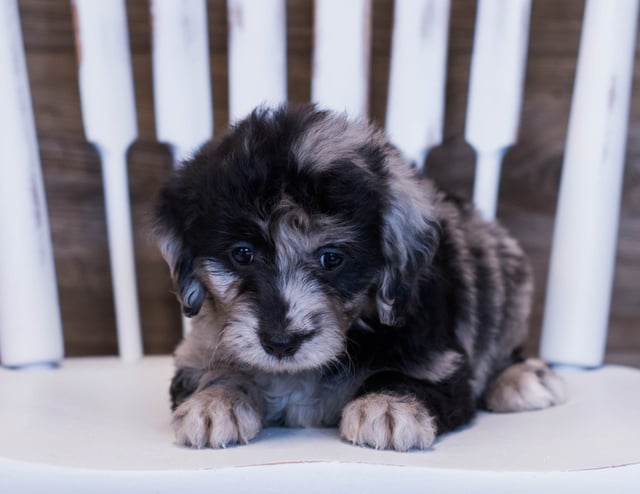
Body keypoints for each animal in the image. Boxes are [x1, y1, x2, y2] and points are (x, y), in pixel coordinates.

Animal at [155, 105, 564, 452]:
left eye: (331, 258)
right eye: (242, 254)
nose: (281, 342)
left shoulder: (438, 359)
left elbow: (404, 375)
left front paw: (387, 406)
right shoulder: (200, 345)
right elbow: (216, 369)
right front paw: (214, 401)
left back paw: (522, 379)